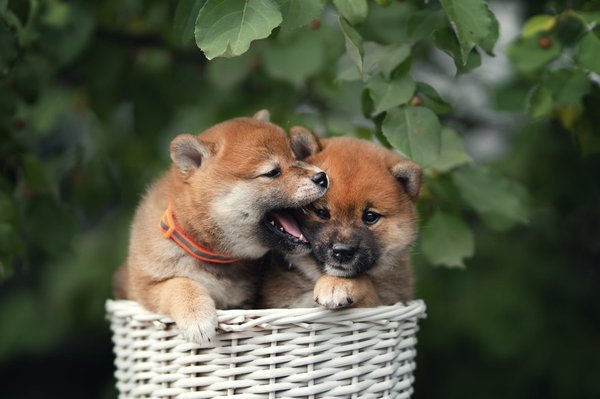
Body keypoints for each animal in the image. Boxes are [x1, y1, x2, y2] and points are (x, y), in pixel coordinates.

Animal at [112, 111, 328, 342]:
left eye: (295, 158)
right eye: (272, 172)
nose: (322, 176)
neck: (212, 254)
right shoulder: (144, 287)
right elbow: (180, 283)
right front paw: (197, 317)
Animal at [258, 135, 422, 310]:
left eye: (370, 217)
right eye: (321, 212)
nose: (342, 251)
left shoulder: (390, 299)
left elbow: (364, 282)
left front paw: (337, 283)